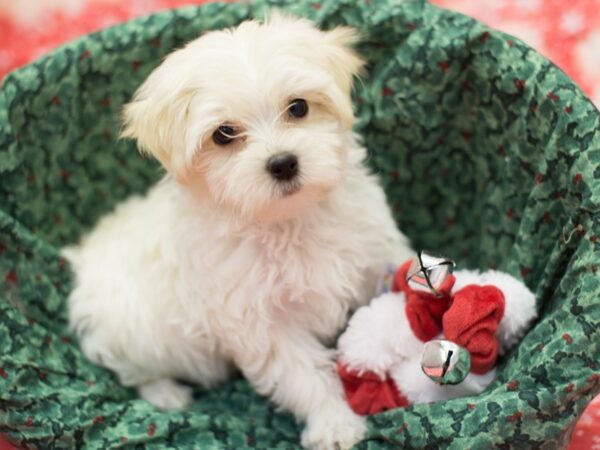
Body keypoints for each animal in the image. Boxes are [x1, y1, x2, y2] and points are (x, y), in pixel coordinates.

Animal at [65, 14, 412, 450]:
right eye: (224, 134)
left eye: (298, 107)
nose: (283, 163)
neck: (288, 221)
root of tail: (85, 259)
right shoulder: (262, 325)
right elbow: (302, 374)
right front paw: (335, 424)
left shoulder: (374, 250)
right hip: (128, 331)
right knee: (135, 371)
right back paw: (167, 394)